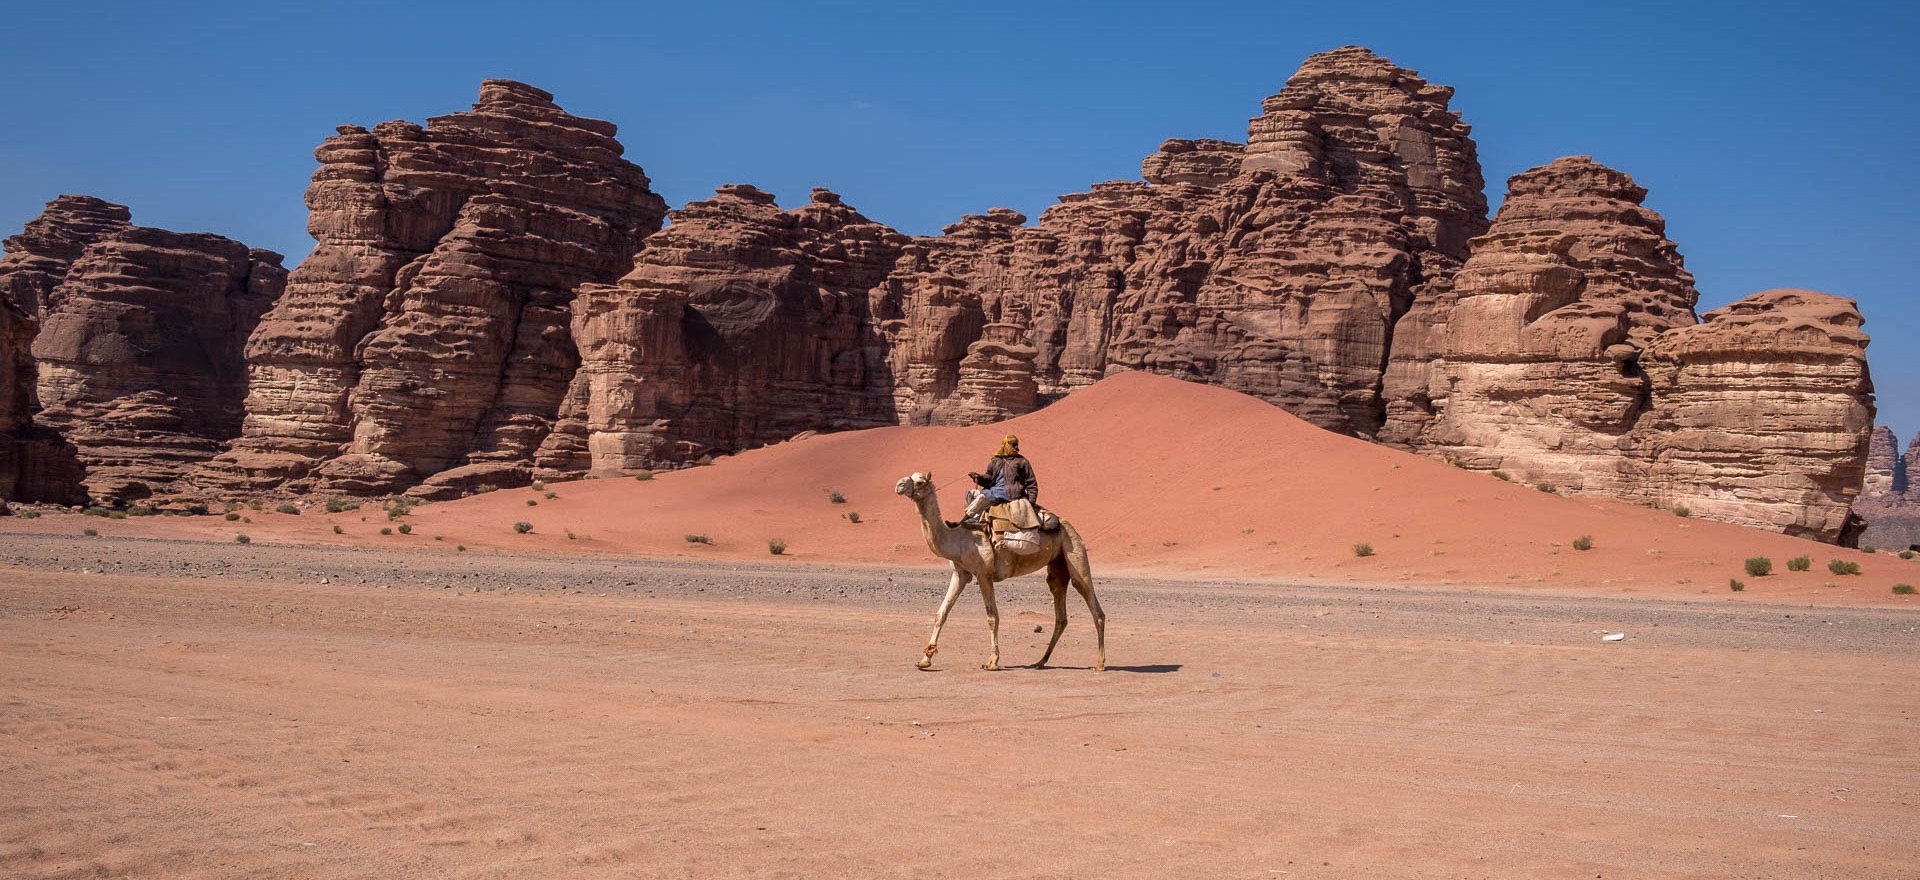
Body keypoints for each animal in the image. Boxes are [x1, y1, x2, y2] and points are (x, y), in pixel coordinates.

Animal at [890, 470, 1105, 668]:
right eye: (909, 476)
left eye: (919, 481)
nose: (899, 485)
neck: (957, 538)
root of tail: (1070, 526)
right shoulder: (961, 574)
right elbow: (941, 614)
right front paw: (925, 659)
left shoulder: (983, 574)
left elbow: (992, 617)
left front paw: (992, 661)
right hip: (1057, 567)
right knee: (1060, 614)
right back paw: (1040, 661)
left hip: (1075, 553)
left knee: (1093, 605)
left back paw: (1100, 663)